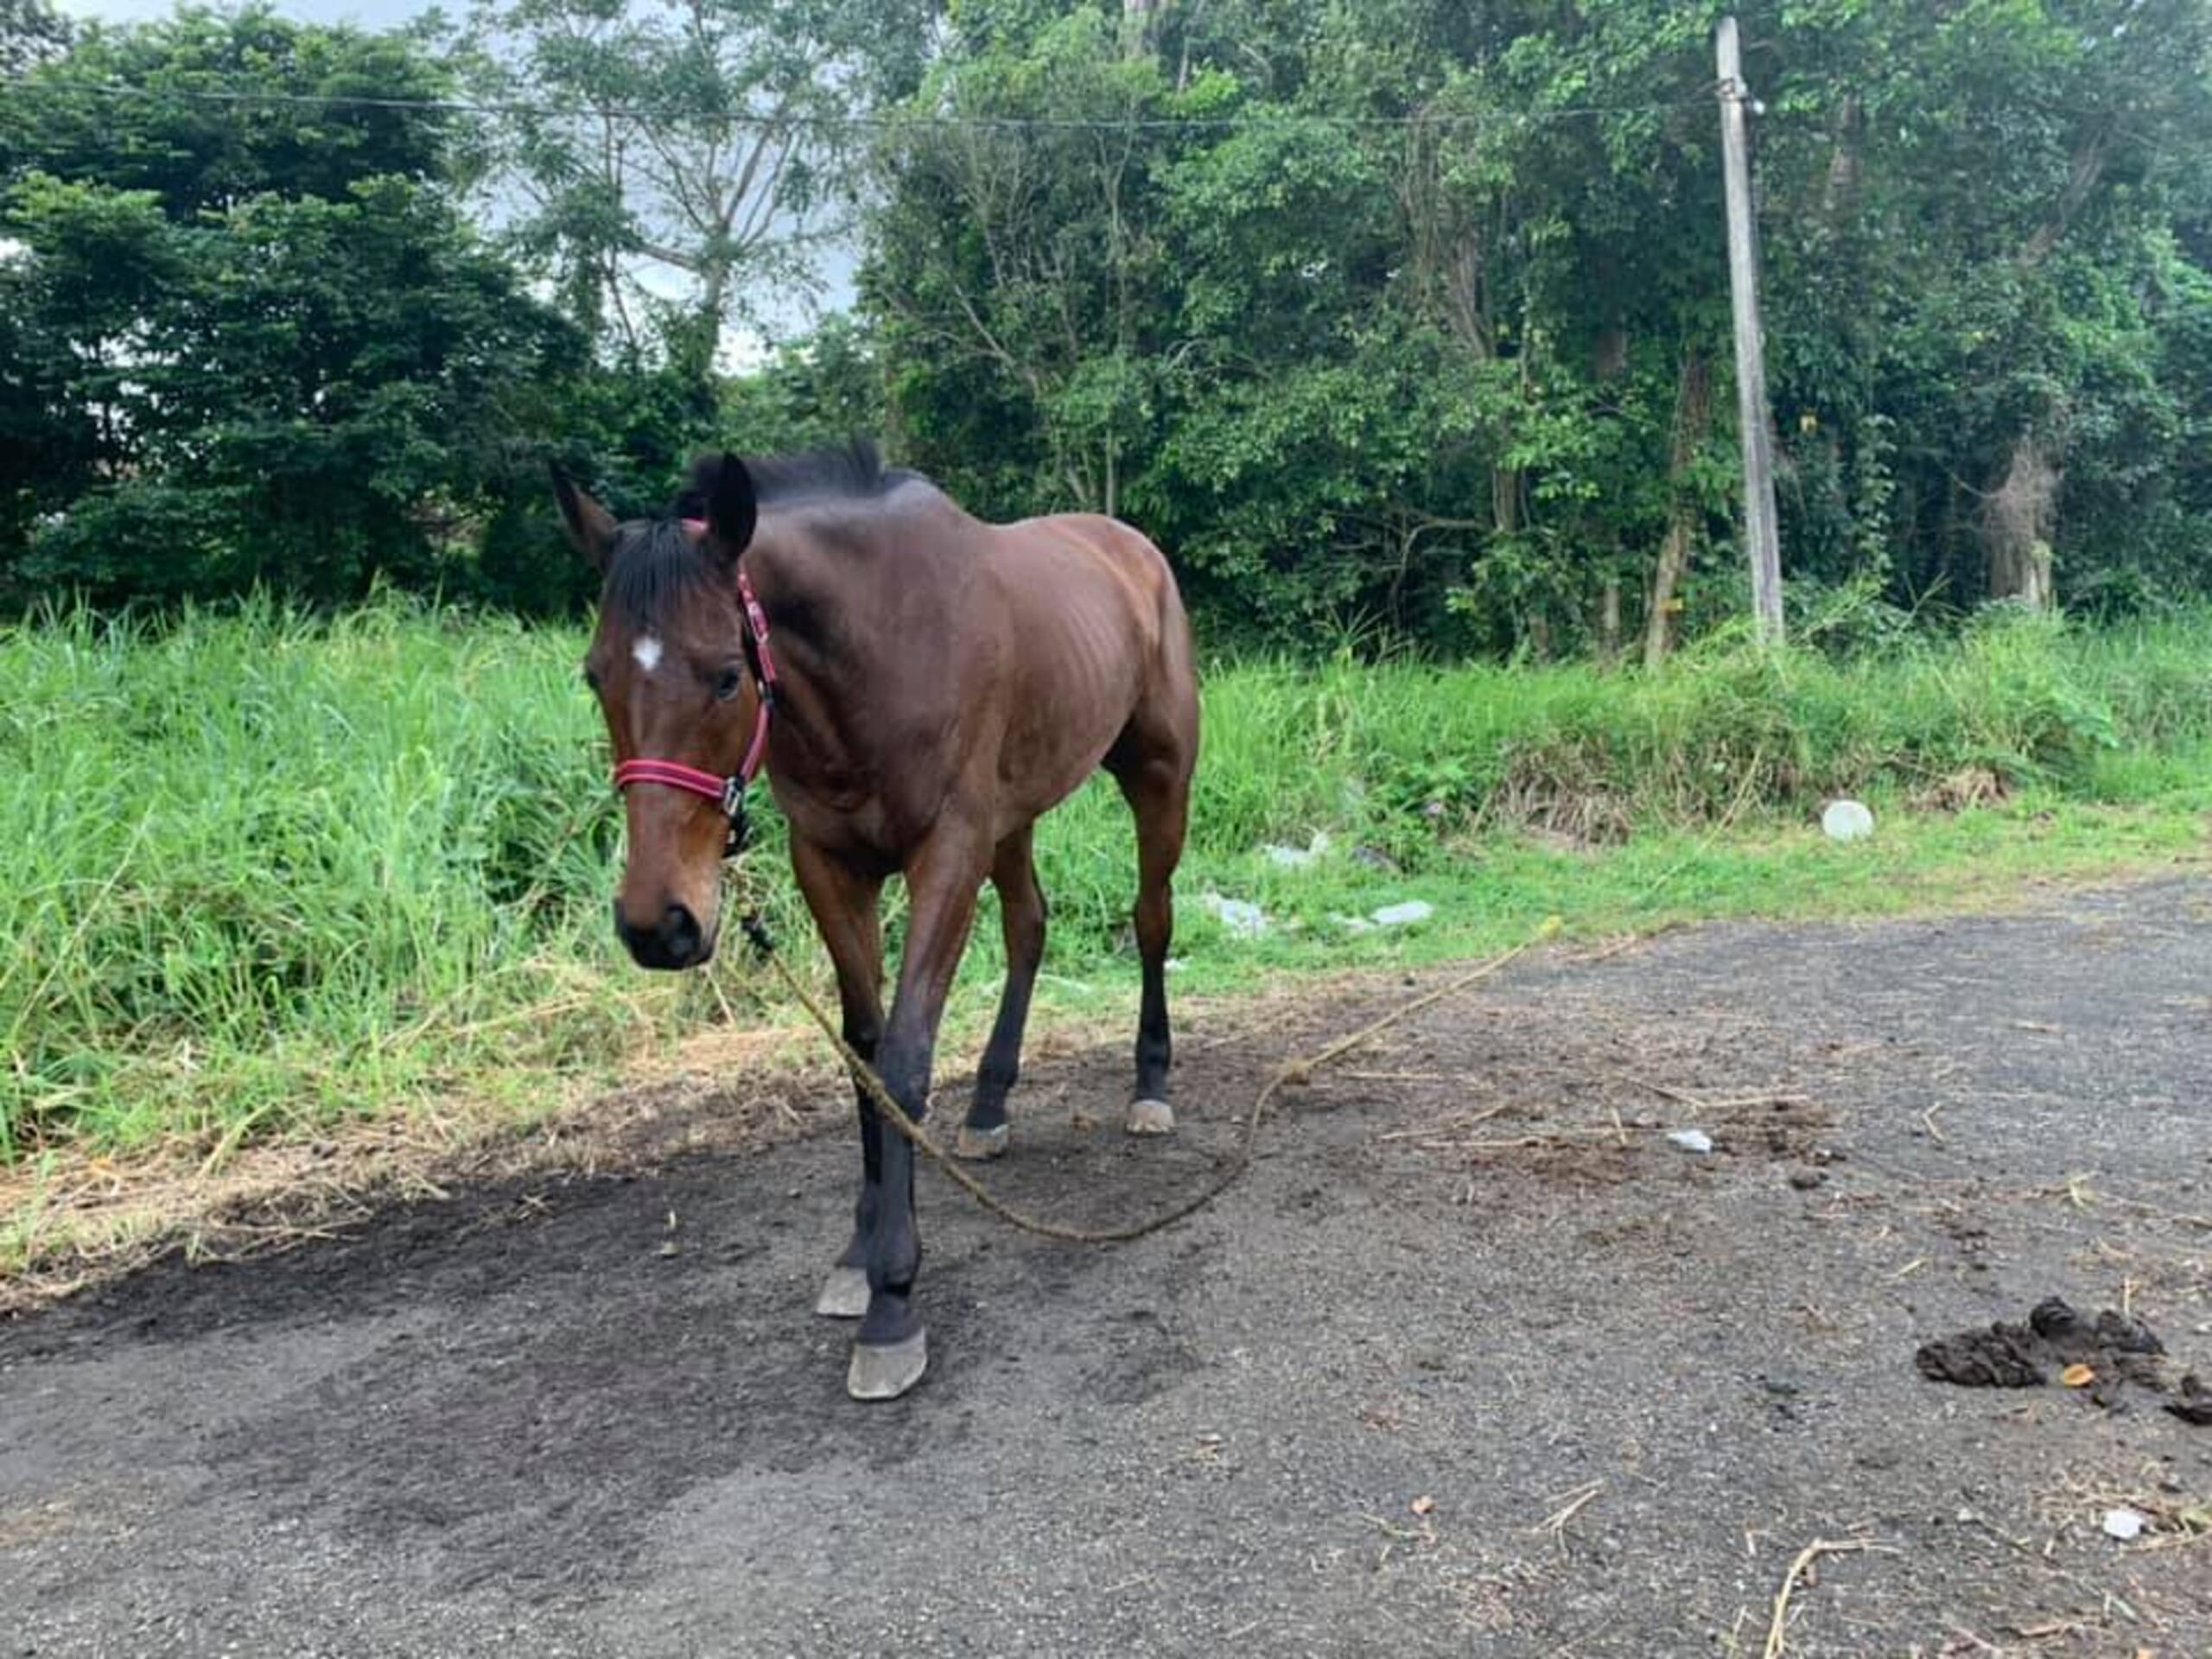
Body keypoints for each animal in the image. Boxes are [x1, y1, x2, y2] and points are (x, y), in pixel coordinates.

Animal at [557, 442, 1211, 1407]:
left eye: (725, 674)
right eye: (594, 675)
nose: (658, 925)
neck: (878, 650)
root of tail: (1133, 550)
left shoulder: (947, 851)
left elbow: (903, 1057)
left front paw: (894, 1301)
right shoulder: (831, 865)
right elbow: (862, 1051)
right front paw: (859, 1252)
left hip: (1157, 774)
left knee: (1153, 919)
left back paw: (1152, 1085)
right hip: (1014, 815)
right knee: (1029, 925)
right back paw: (989, 1104)